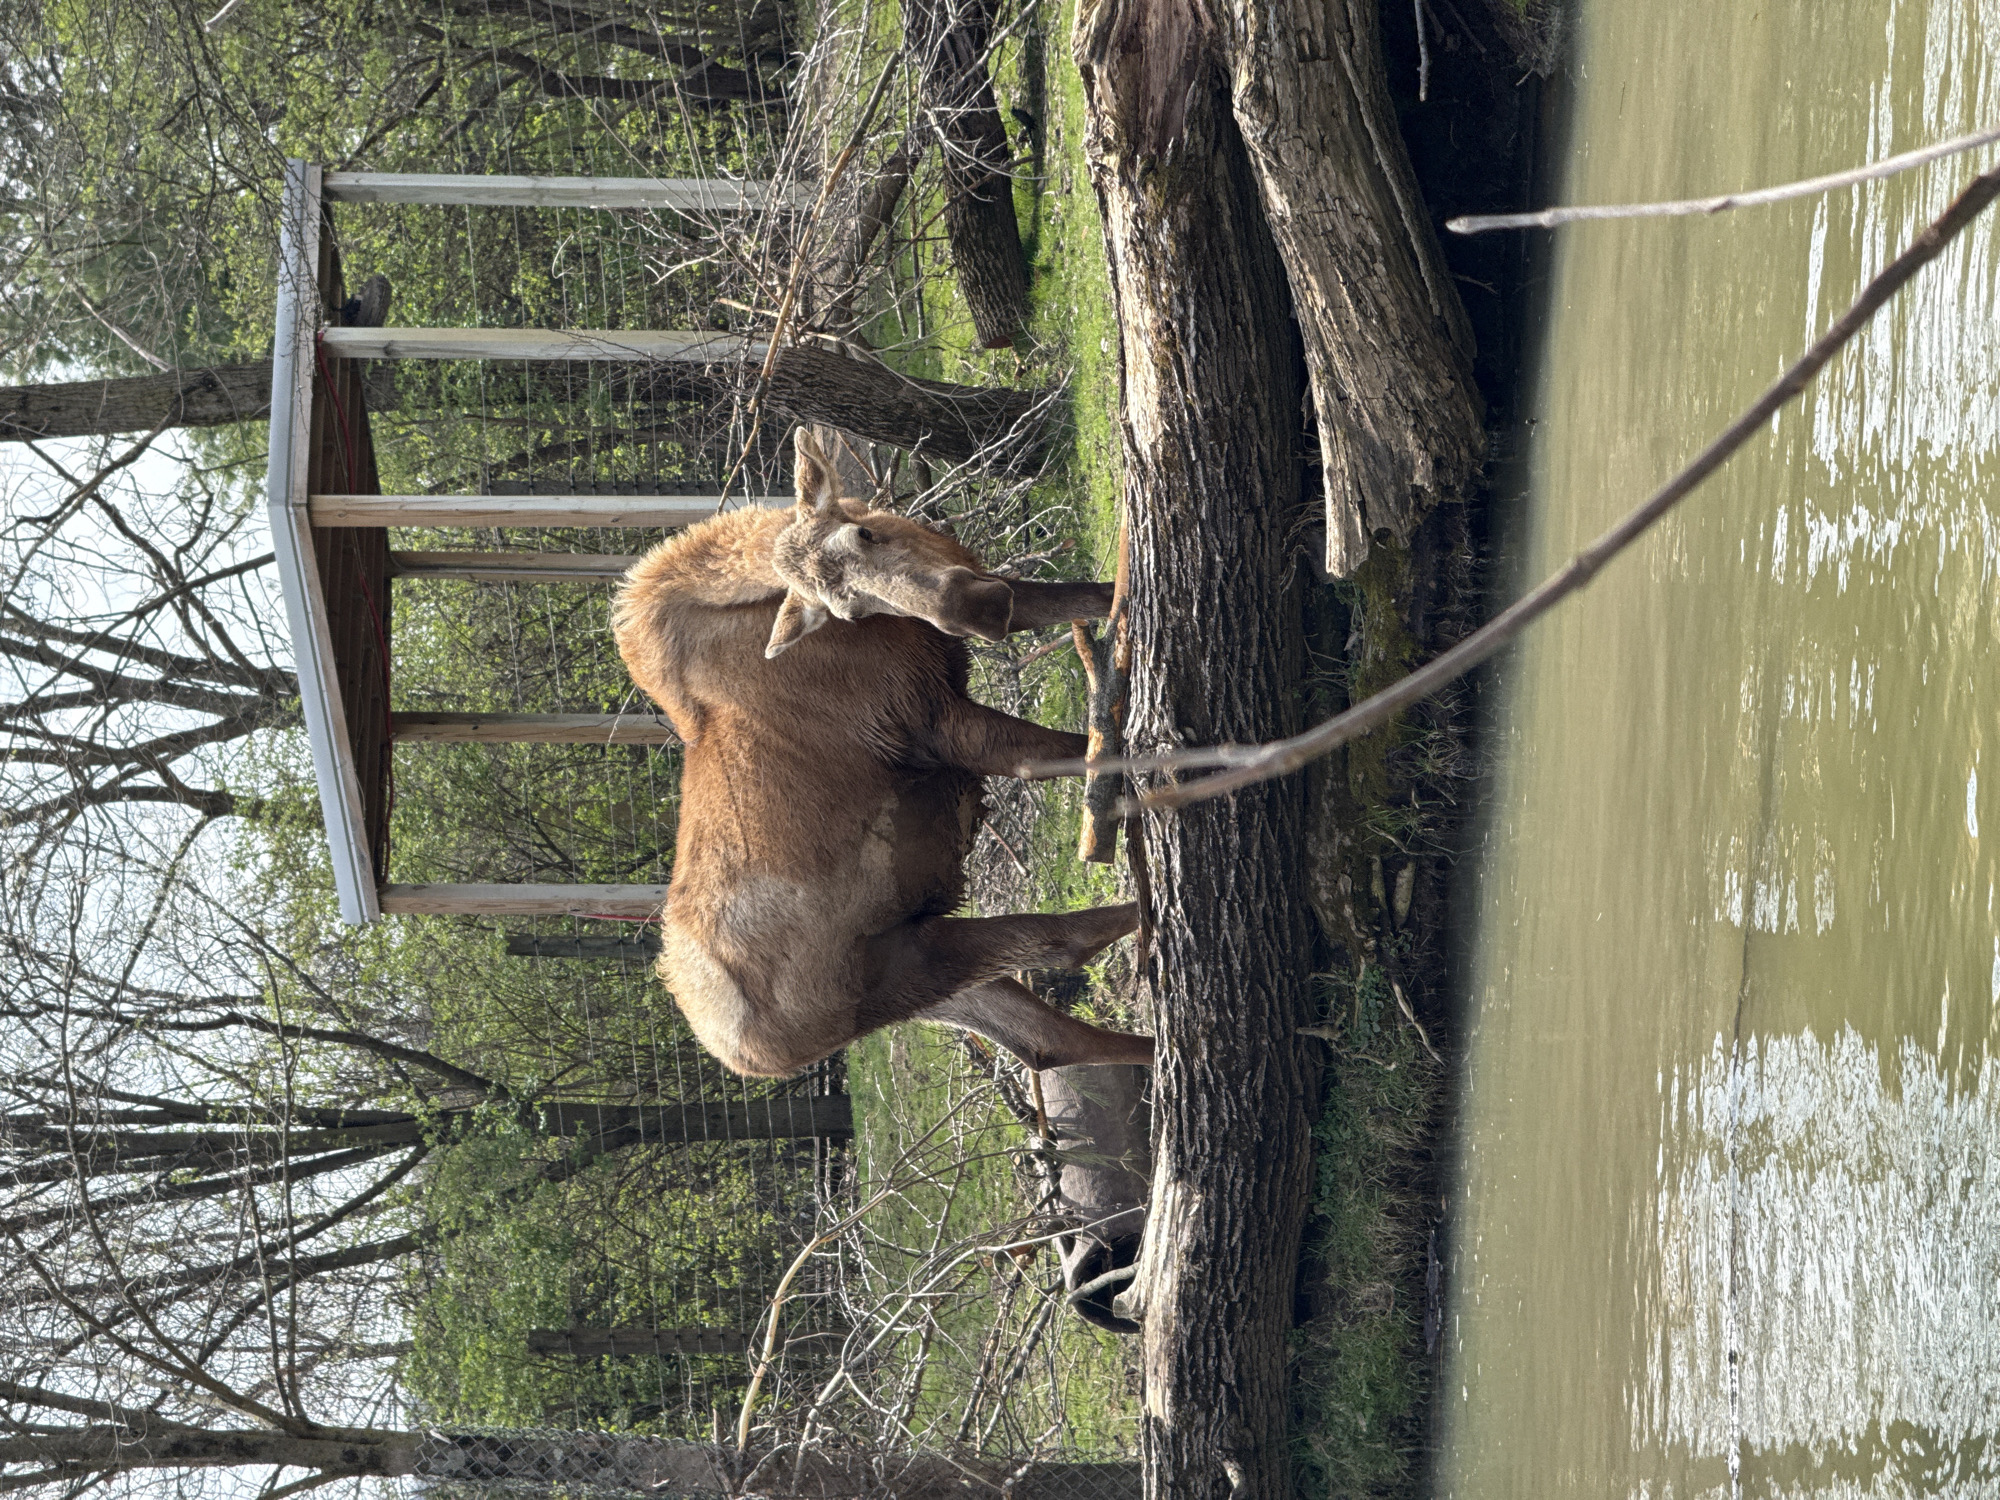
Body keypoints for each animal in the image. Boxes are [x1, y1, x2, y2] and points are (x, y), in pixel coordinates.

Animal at [611, 430, 1153, 1079]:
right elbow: (1084, 753)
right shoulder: (935, 720)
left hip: (914, 981)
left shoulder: (991, 602)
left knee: (1047, 1041)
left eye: (865, 534)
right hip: (915, 959)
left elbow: (1088, 595)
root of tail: (743, 1056)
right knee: (1060, 944)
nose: (967, 608)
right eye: (846, 612)